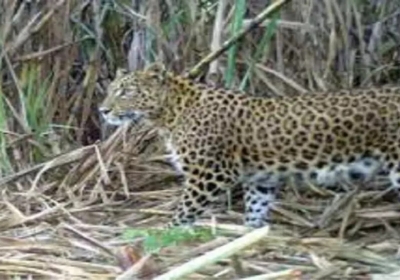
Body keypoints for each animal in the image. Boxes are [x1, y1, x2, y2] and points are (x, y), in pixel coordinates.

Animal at [98, 64, 400, 229]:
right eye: (111, 90)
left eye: (126, 92)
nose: (102, 110)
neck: (170, 113)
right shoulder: (261, 178)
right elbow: (256, 208)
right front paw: (250, 235)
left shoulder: (210, 174)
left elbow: (185, 209)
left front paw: (164, 233)